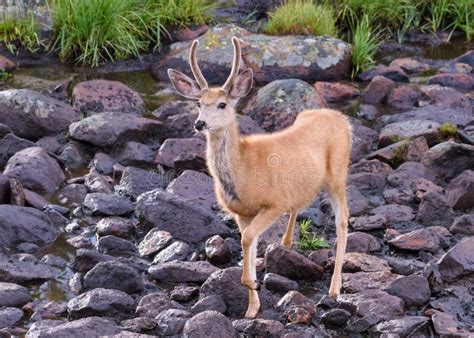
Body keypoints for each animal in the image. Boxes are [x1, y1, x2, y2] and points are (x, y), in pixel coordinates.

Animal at [168, 37, 352, 320]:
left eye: (222, 104)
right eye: (199, 103)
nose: (199, 124)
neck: (242, 169)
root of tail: (343, 119)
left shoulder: (274, 203)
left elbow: (247, 239)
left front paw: (253, 287)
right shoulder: (241, 213)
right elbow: (248, 242)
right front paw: (252, 307)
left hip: (337, 174)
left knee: (343, 221)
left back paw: (334, 289)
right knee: (301, 205)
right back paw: (287, 243)